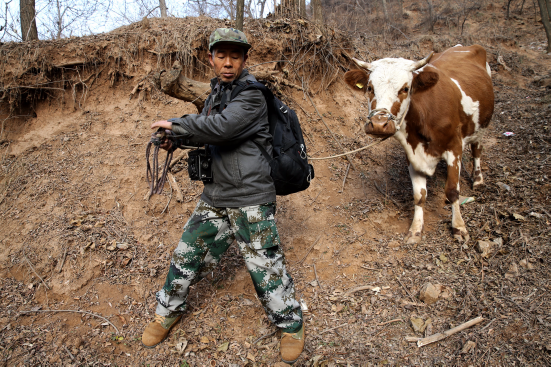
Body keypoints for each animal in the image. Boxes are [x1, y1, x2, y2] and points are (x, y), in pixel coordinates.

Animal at [344, 45, 496, 244]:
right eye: (370, 87)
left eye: (405, 88)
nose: (378, 124)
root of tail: (464, 46)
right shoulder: (412, 152)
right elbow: (419, 195)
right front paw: (415, 230)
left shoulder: (455, 147)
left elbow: (452, 190)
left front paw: (459, 227)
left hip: (481, 125)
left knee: (477, 149)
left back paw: (478, 179)